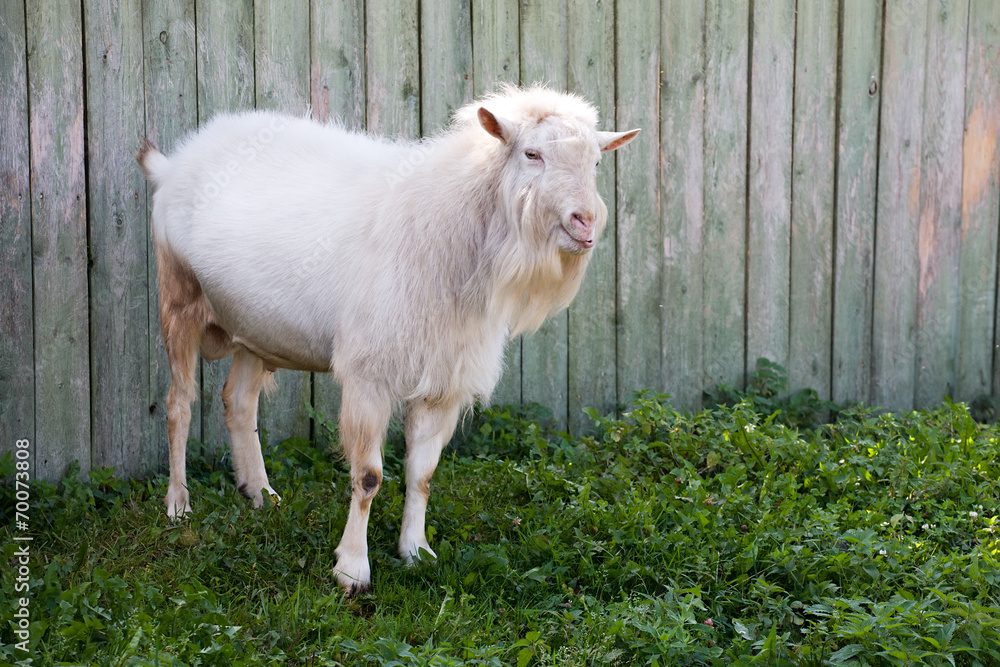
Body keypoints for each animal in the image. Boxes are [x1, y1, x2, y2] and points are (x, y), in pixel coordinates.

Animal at [137, 85, 638, 594]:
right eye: (531, 154)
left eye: (597, 161)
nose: (583, 223)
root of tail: (174, 163)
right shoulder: (368, 377)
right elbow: (369, 476)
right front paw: (352, 569)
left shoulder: (442, 383)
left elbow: (422, 475)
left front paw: (416, 551)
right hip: (178, 298)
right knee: (179, 404)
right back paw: (178, 504)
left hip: (257, 329)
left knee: (238, 401)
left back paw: (260, 493)